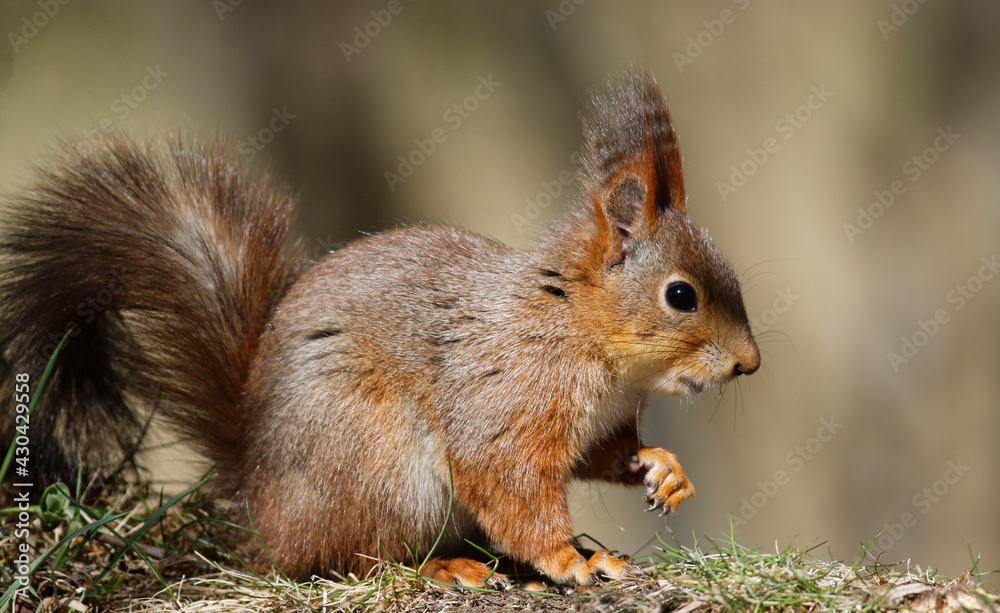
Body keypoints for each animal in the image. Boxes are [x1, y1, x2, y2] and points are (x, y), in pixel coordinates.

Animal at [0, 70, 759, 587]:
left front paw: (664, 469)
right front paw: (566, 558)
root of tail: (258, 497)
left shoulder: (600, 423)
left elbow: (605, 457)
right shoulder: (508, 395)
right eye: (681, 295)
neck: (579, 329)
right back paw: (444, 566)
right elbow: (509, 482)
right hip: (376, 466)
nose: (748, 364)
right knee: (346, 558)